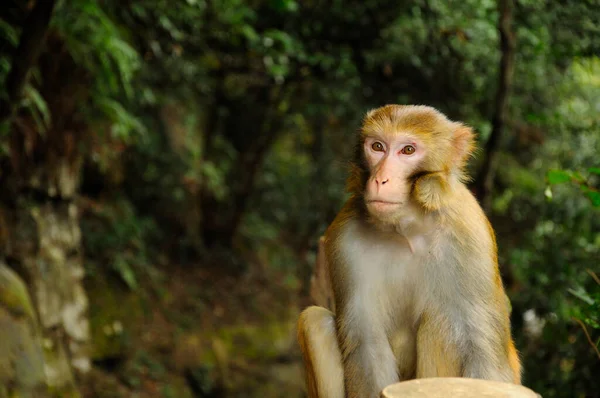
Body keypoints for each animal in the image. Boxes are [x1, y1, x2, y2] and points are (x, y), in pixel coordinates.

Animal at [296, 105, 520, 398]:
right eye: (377, 147)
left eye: (408, 150)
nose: (380, 179)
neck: (407, 229)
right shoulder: (345, 238)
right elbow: (367, 346)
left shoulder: (470, 234)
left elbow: (485, 355)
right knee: (316, 321)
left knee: (442, 323)